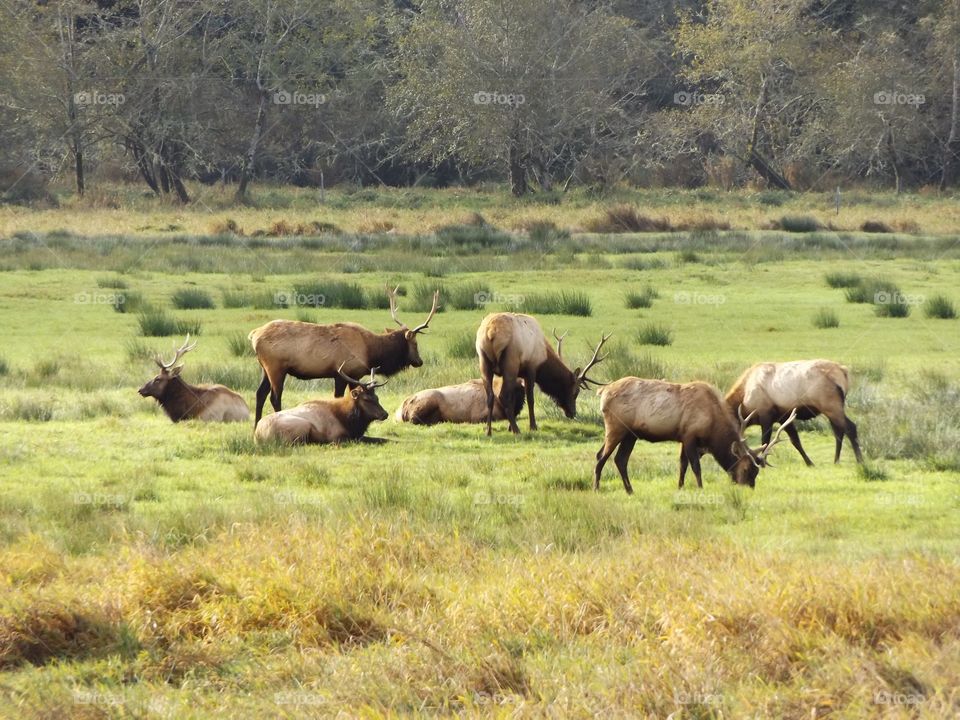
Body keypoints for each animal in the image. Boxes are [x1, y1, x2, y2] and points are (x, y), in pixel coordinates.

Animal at [249, 286, 439, 426]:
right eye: (415, 343)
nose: (419, 361)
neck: (371, 352)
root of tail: (253, 334)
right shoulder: (345, 372)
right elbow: (340, 398)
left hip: (264, 368)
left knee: (260, 394)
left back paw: (256, 425)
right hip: (276, 368)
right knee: (274, 397)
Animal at [254, 364, 389, 444]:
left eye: (377, 397)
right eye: (366, 399)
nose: (385, 414)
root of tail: (258, 434)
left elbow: (383, 439)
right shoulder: (337, 437)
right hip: (303, 425)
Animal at [476, 312, 610, 435]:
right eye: (576, 392)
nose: (572, 413)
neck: (543, 358)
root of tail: (491, 333)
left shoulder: (520, 375)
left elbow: (515, 398)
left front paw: (509, 427)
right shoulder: (531, 369)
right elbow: (530, 399)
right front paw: (533, 426)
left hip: (483, 360)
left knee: (490, 396)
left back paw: (488, 431)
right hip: (510, 361)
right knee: (503, 395)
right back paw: (516, 430)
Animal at [594, 376, 798, 494]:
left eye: (756, 472)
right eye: (747, 469)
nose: (748, 488)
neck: (713, 426)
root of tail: (602, 391)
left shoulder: (684, 438)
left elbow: (682, 464)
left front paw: (680, 487)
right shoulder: (690, 435)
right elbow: (695, 466)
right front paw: (700, 488)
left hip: (630, 435)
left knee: (620, 459)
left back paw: (630, 490)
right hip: (615, 427)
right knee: (601, 456)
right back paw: (596, 488)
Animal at [725, 360, 863, 466]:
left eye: (736, 452)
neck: (744, 398)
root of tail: (843, 371)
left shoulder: (765, 414)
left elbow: (765, 441)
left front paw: (762, 463)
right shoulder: (783, 417)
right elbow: (795, 441)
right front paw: (809, 463)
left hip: (831, 406)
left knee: (850, 427)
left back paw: (860, 461)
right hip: (833, 408)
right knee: (838, 431)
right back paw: (836, 461)